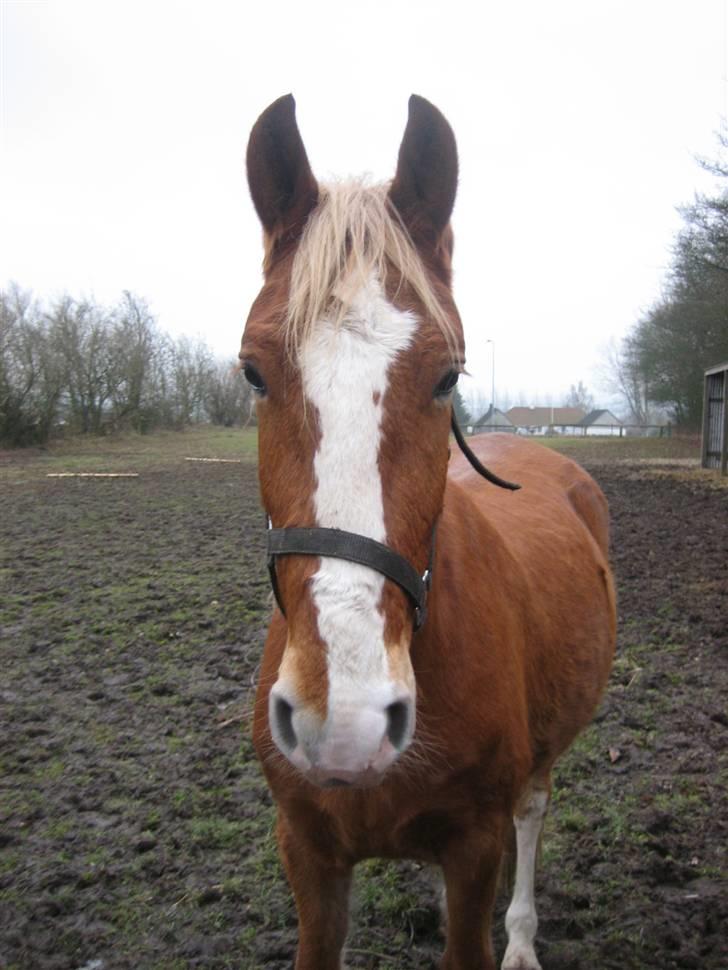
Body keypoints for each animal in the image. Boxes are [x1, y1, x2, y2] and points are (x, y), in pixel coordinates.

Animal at [242, 94, 616, 968]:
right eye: (252, 371)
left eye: (448, 375)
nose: (342, 720)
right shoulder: (306, 852)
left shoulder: (474, 847)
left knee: (533, 813)